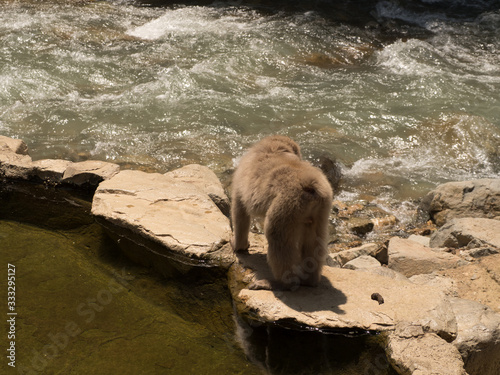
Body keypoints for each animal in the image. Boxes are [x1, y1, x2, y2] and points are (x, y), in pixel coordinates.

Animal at [231, 136, 334, 290]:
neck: (276, 147)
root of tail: (311, 186)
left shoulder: (240, 183)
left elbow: (240, 212)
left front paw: (238, 246)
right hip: (321, 208)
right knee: (314, 240)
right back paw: (310, 279)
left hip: (287, 204)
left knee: (277, 237)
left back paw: (279, 282)